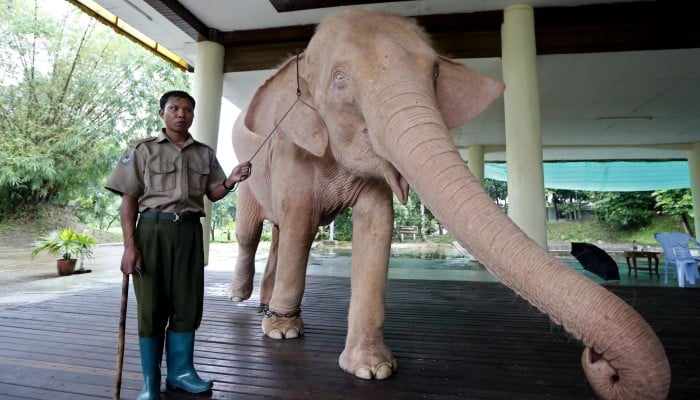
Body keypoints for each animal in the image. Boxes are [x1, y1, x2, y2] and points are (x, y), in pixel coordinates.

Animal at [227, 7, 668, 400]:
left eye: (435, 73)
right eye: (339, 79)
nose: (601, 362)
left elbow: (376, 225)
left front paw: (372, 370)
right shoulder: (291, 153)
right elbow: (301, 223)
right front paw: (283, 333)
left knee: (278, 233)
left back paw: (265, 305)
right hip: (250, 182)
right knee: (255, 233)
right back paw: (244, 301)